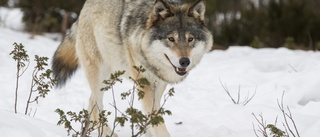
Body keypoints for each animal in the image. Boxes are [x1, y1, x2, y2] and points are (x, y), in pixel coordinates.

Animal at [52, 0, 212, 136]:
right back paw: (108, 134)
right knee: (96, 107)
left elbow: (152, 119)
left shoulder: (158, 84)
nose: (184, 61)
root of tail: (84, 8)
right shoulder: (145, 84)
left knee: (91, 103)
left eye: (190, 39)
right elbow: (158, 124)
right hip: (99, 74)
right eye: (171, 39)